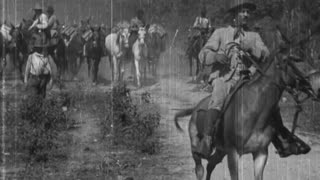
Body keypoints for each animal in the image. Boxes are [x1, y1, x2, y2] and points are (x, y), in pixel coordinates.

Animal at [174, 46, 318, 180]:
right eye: (287, 61)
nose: (313, 84)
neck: (254, 110)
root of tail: (196, 109)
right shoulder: (233, 153)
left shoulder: (261, 153)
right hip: (196, 148)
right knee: (200, 169)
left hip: (221, 151)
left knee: (211, 164)